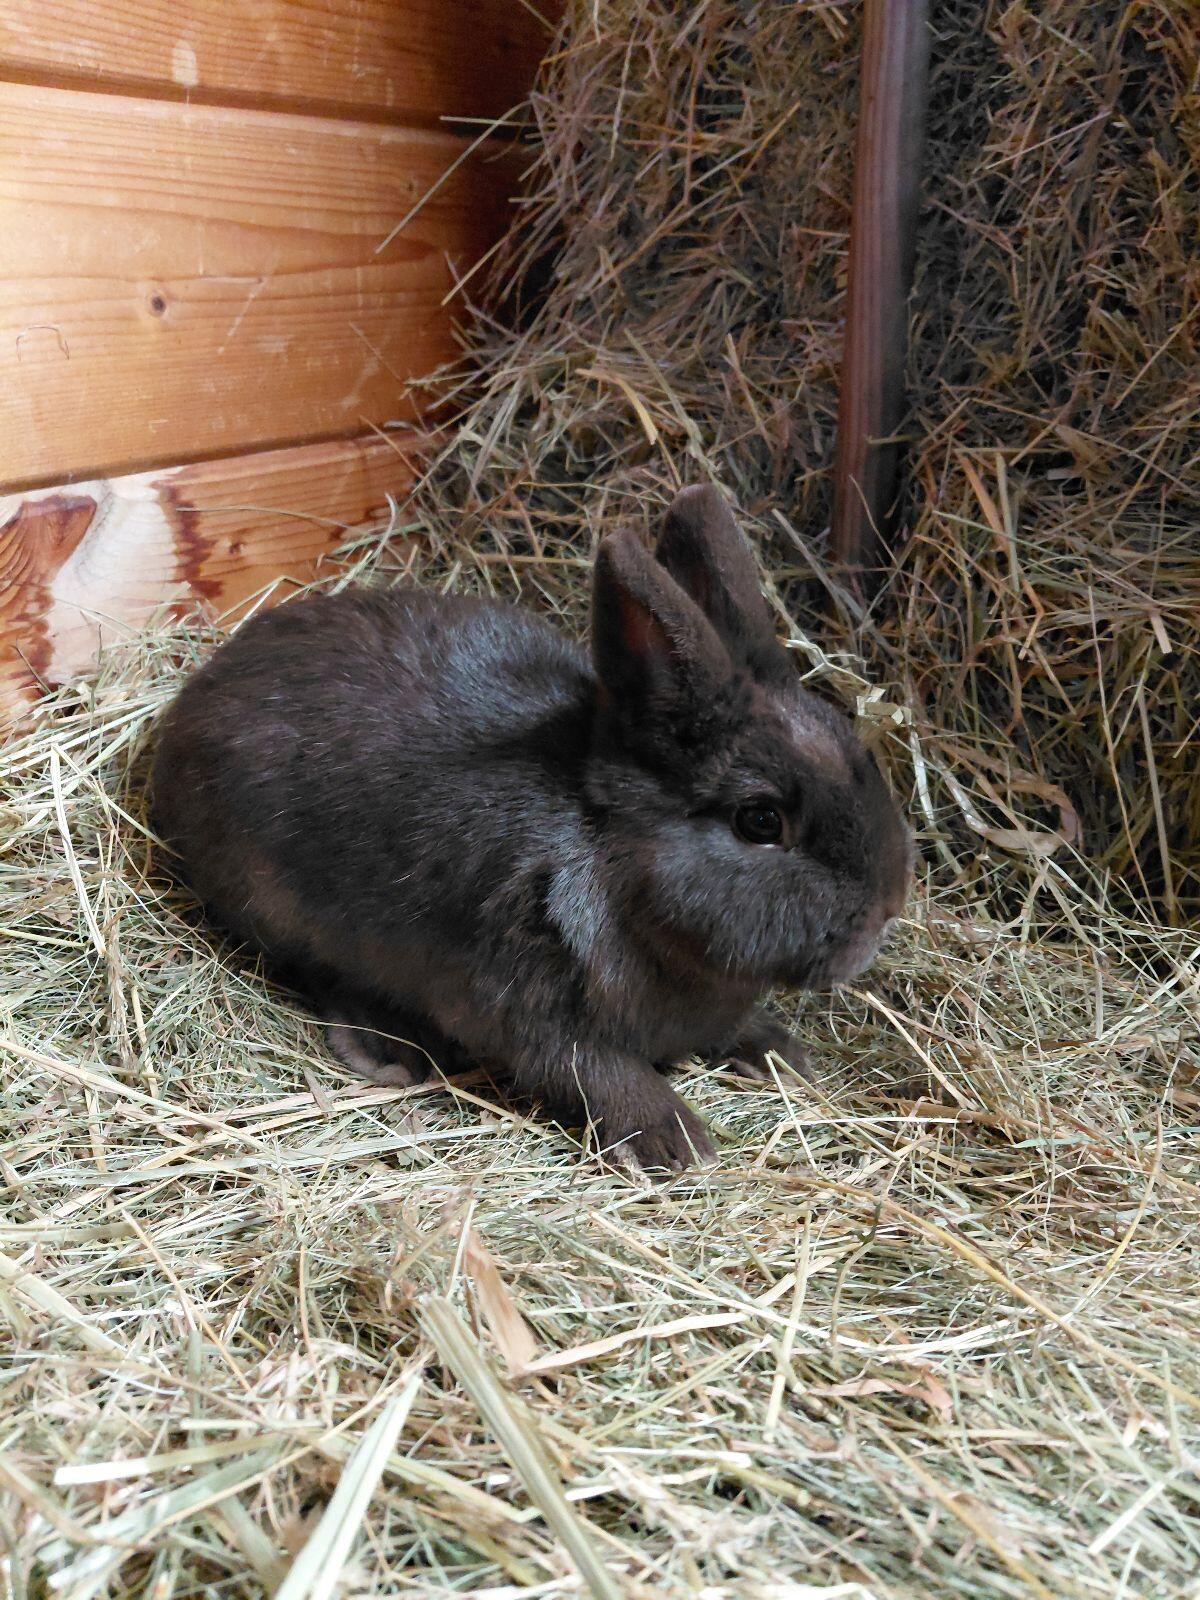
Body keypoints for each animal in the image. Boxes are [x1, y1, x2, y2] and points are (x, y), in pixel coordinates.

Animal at [150, 485, 911, 1170]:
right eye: (760, 820)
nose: (884, 913)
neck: (617, 867)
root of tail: (193, 702)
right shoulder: (529, 1002)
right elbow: (594, 1070)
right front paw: (674, 1142)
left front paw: (779, 1053)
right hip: (282, 903)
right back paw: (389, 1048)